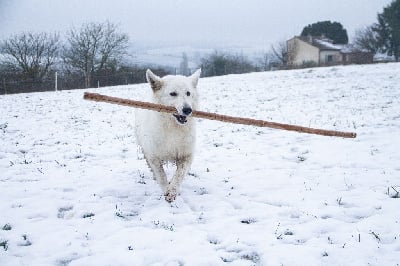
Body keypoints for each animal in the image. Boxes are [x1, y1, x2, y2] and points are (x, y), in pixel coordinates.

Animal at [135, 68, 200, 202]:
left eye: (188, 93)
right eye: (173, 94)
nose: (188, 110)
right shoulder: (153, 156)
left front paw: (173, 190)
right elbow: (161, 175)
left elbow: (179, 174)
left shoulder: (186, 155)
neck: (173, 128)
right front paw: (166, 190)